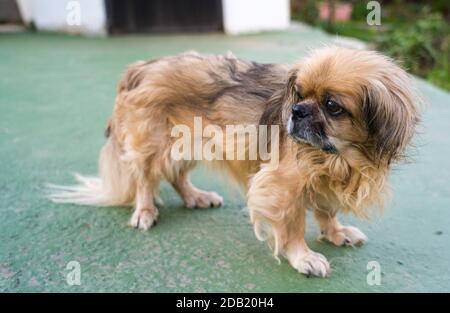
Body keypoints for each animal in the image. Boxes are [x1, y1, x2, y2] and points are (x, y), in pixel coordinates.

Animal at [49, 45, 418, 276]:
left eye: (332, 106)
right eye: (299, 95)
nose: (297, 111)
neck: (338, 157)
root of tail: (142, 66)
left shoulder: (325, 182)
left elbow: (327, 211)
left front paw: (336, 233)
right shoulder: (282, 185)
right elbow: (293, 225)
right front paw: (303, 257)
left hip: (191, 143)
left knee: (175, 176)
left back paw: (196, 197)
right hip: (154, 144)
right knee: (145, 178)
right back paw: (144, 211)